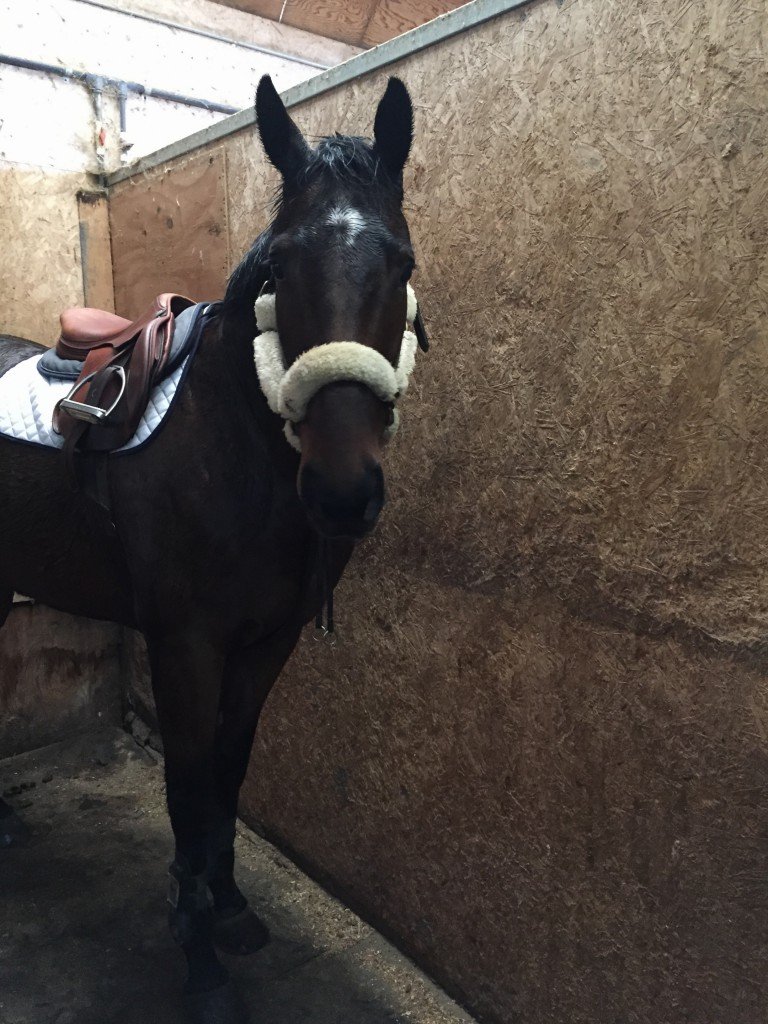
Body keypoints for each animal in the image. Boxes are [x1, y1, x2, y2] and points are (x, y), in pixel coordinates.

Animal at [0, 74, 428, 1024]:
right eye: (282, 266)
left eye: (403, 264)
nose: (341, 490)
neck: (234, 448)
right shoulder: (184, 643)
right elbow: (189, 780)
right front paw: (199, 959)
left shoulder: (267, 640)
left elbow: (231, 765)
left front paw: (228, 909)